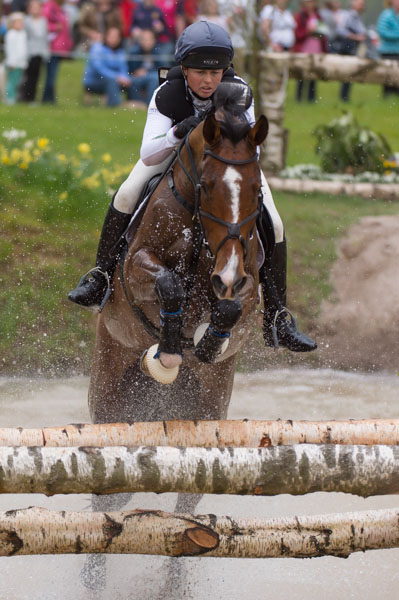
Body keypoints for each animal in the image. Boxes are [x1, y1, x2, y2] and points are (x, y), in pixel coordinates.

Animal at [88, 89, 268, 426]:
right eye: (206, 186)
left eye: (257, 188)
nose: (227, 275)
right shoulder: (135, 267)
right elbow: (168, 284)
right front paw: (170, 348)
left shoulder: (246, 280)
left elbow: (232, 307)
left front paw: (210, 343)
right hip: (109, 378)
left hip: (210, 397)